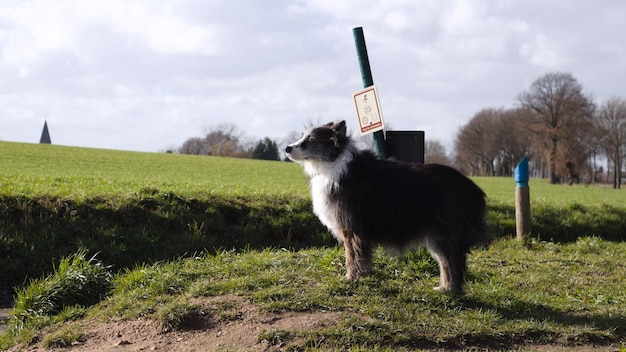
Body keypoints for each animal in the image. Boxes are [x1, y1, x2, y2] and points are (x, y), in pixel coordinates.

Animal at [286, 121, 490, 292]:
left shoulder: (351, 227)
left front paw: (351, 279)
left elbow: (352, 256)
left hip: (445, 233)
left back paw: (451, 291)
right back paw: (444, 288)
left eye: (311, 140)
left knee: (454, 263)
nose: (287, 148)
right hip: (437, 236)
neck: (334, 163)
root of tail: (473, 189)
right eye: (303, 137)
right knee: (446, 262)